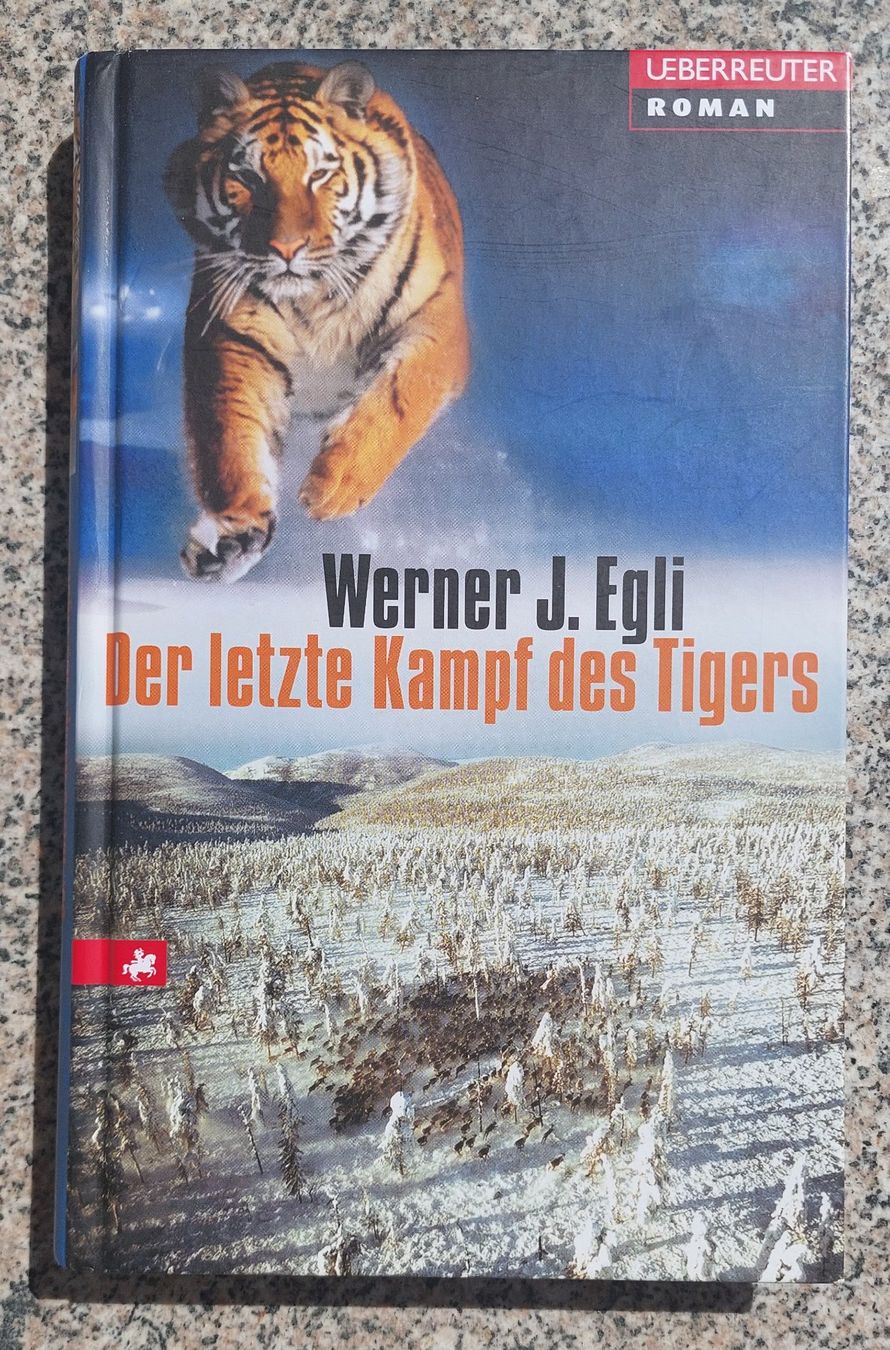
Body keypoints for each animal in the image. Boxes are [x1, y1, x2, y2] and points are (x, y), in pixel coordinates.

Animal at [165, 59, 470, 582]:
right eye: (247, 176)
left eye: (321, 174)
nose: (286, 249)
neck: (314, 299)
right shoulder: (233, 333)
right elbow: (230, 432)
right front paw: (234, 530)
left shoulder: (437, 322)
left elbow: (401, 395)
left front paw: (335, 485)